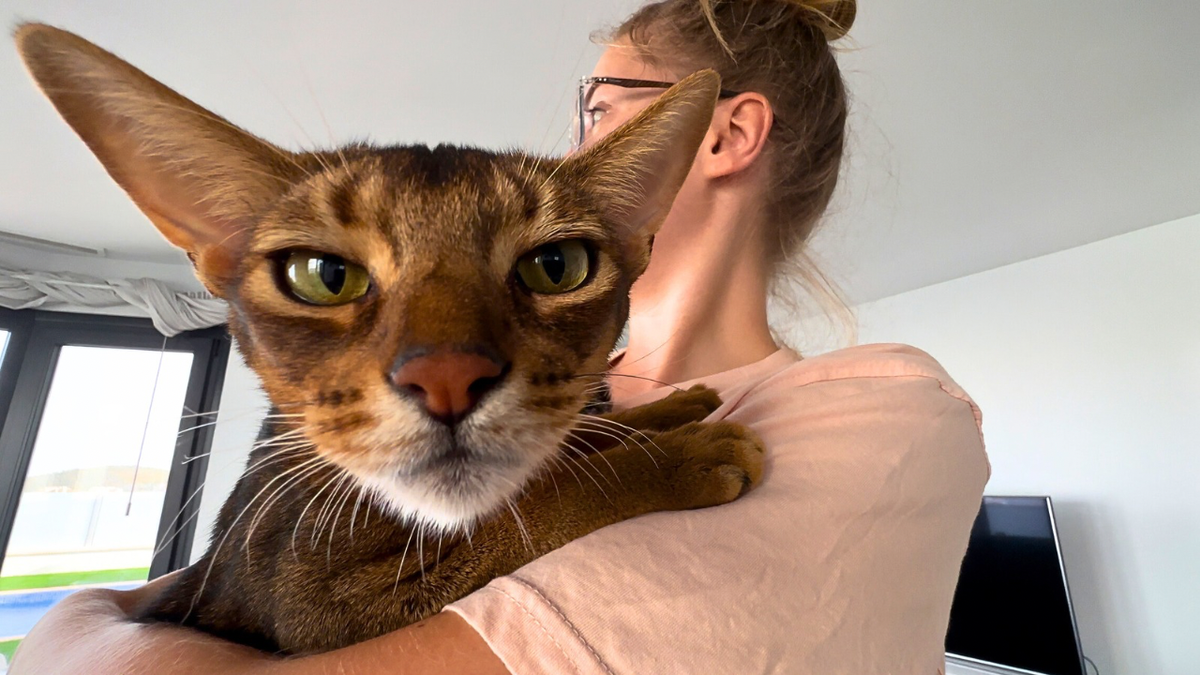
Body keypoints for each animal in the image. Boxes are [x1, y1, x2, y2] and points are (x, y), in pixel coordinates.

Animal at [18, 22, 763, 653]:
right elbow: (537, 500)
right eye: (325, 276)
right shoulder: (318, 598)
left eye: (557, 266)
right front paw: (677, 451)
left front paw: (670, 408)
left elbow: (566, 442)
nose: (446, 375)